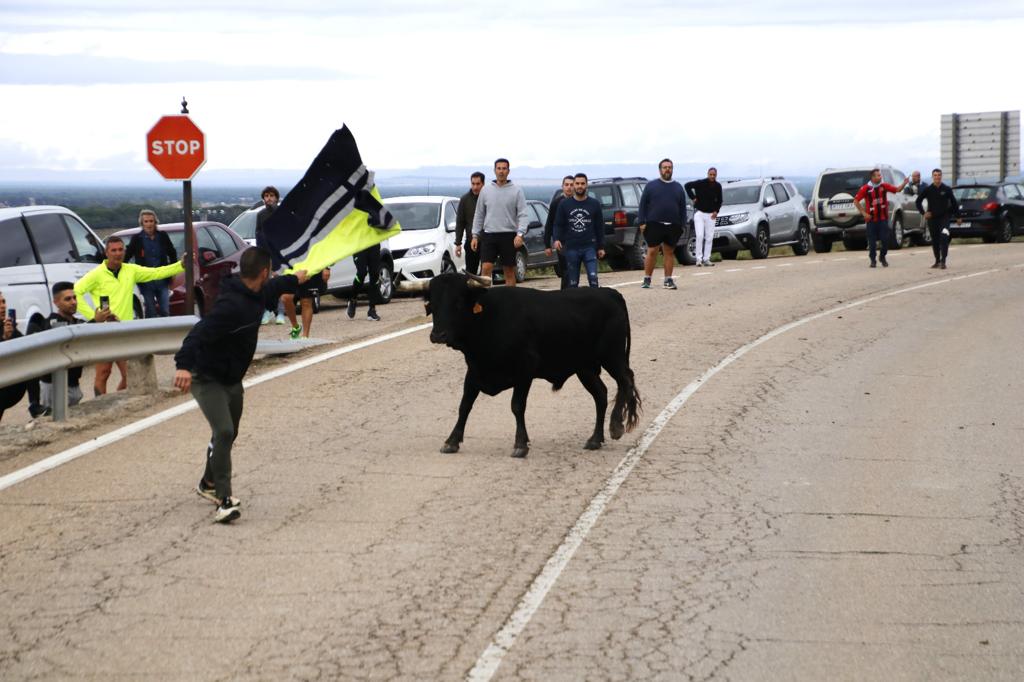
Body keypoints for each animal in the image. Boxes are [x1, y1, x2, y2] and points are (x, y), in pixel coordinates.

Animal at [409, 270, 634, 456]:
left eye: (457, 303)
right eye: (432, 305)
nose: (438, 335)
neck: (489, 318)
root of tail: (609, 293)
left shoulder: (525, 370)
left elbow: (517, 406)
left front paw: (520, 444)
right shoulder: (474, 371)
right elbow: (464, 406)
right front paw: (451, 441)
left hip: (612, 357)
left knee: (626, 380)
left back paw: (616, 426)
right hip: (585, 368)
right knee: (601, 394)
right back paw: (595, 439)